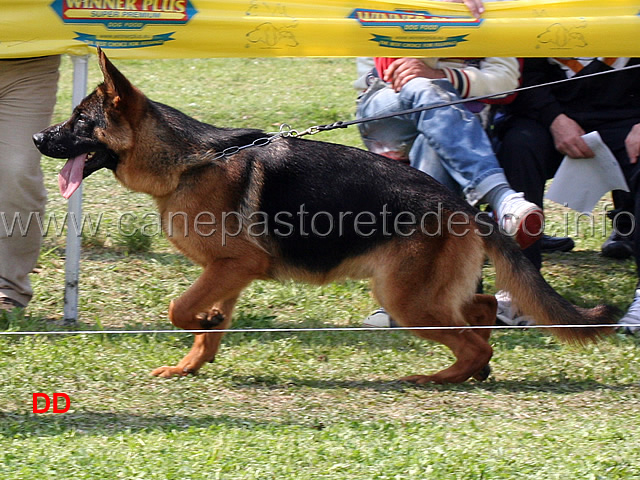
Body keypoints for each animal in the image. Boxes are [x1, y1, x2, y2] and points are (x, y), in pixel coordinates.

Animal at [32, 50, 616, 384]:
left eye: (79, 121)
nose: (37, 138)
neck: (189, 163)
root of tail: (463, 207)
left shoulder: (232, 267)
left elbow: (181, 310)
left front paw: (201, 327)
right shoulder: (228, 274)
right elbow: (205, 328)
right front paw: (191, 362)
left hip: (405, 299)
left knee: (473, 338)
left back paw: (436, 377)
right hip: (421, 293)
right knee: (482, 309)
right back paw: (470, 365)